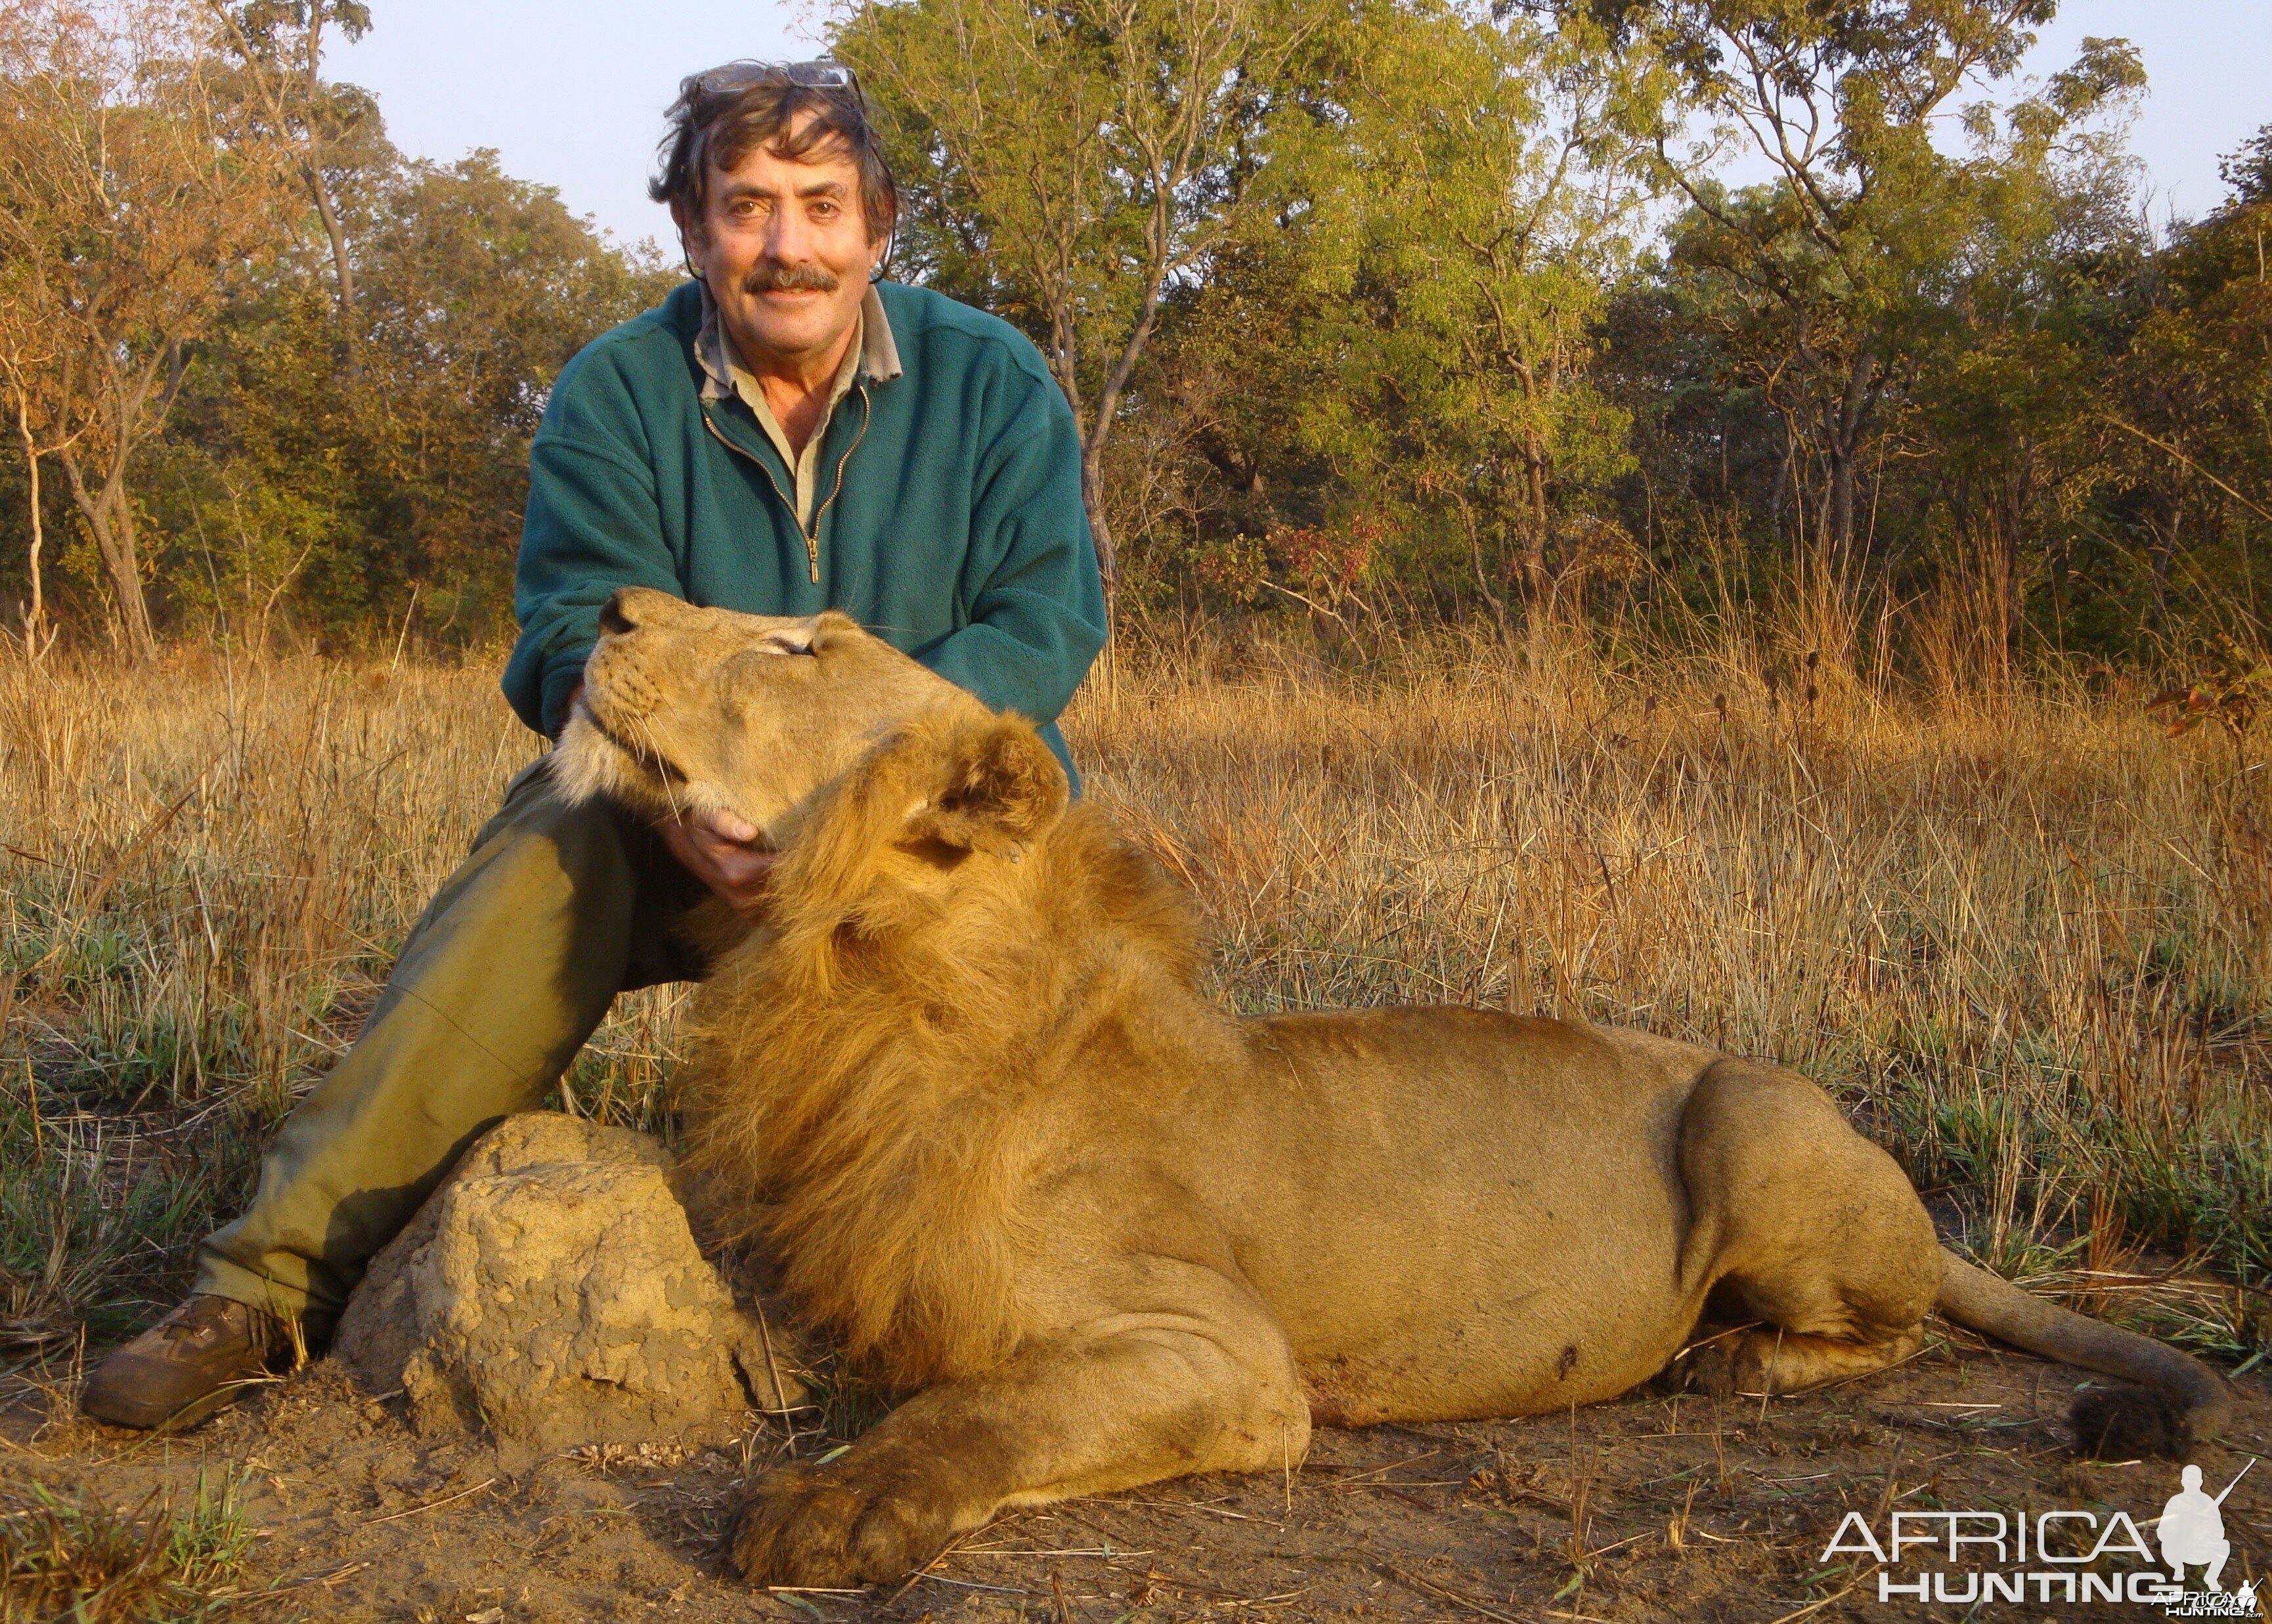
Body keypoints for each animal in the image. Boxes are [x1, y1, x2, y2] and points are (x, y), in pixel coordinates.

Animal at [554, 586, 2235, 1590]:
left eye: (802, 645)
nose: (614, 602)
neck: (868, 979)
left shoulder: (1228, 1357)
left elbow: (981, 1408)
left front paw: (830, 1507)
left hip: (1751, 1122)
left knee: (1895, 1323)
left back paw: (1740, 1364)